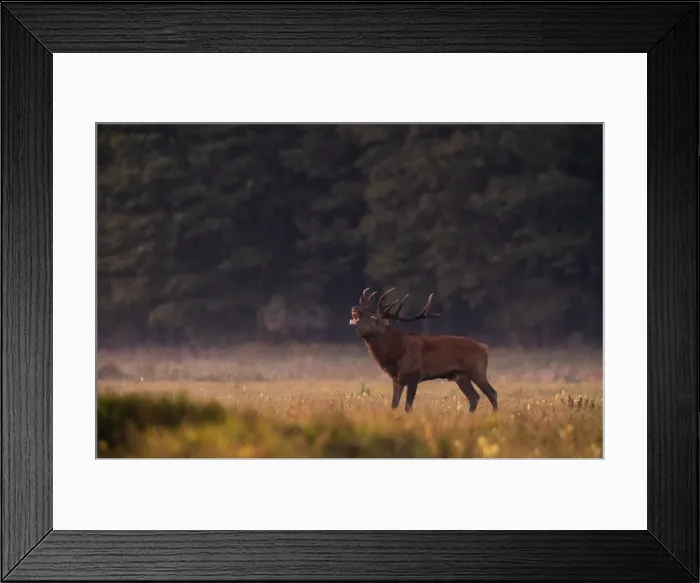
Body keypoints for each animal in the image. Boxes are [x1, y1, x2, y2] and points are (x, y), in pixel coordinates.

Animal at [349, 287, 498, 414]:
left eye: (373, 317)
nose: (355, 308)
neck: (395, 354)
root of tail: (484, 347)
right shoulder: (396, 378)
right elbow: (394, 404)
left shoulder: (414, 375)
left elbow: (408, 406)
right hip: (460, 376)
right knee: (474, 397)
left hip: (477, 370)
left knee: (492, 393)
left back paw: (494, 415)